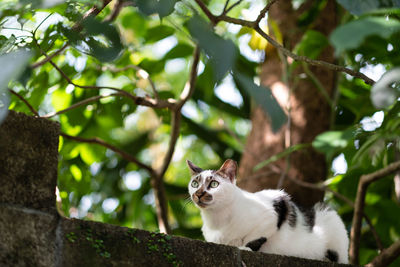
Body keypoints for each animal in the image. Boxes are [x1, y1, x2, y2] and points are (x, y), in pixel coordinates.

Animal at [186, 158, 348, 264]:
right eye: (194, 183)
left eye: (214, 184)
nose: (198, 194)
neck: (217, 219)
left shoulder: (275, 206)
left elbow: (255, 237)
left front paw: (245, 248)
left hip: (329, 215)